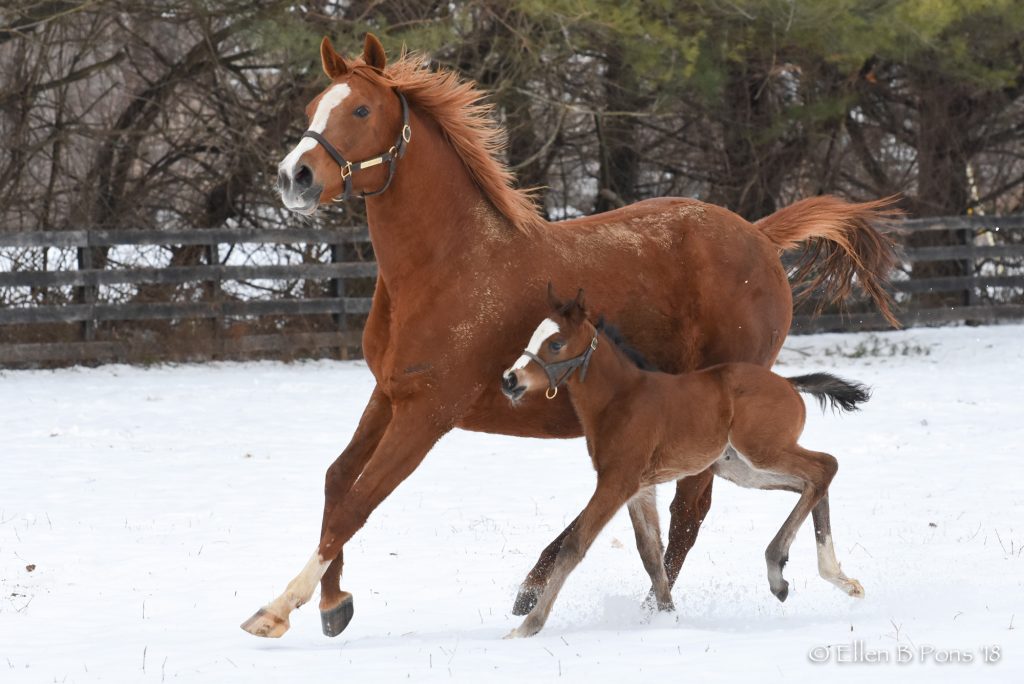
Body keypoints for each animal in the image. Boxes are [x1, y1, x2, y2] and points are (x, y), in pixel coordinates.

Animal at [499, 286, 868, 634]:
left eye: (556, 344)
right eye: (533, 337)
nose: (510, 380)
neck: (620, 399)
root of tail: (790, 384)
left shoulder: (617, 481)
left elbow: (575, 545)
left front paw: (528, 626)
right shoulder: (639, 488)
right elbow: (650, 555)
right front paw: (666, 618)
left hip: (762, 451)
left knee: (825, 466)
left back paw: (780, 568)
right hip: (741, 467)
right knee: (811, 481)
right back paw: (836, 579)